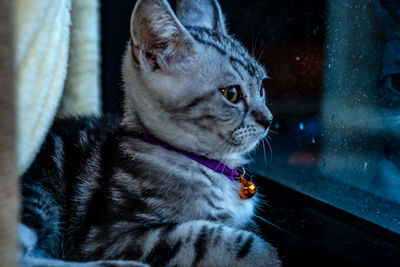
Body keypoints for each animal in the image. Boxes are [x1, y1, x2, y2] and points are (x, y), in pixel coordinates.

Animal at [19, 0, 282, 266]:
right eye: (231, 94)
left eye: (261, 87)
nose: (269, 120)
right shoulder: (105, 236)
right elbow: (204, 239)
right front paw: (264, 254)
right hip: (38, 195)